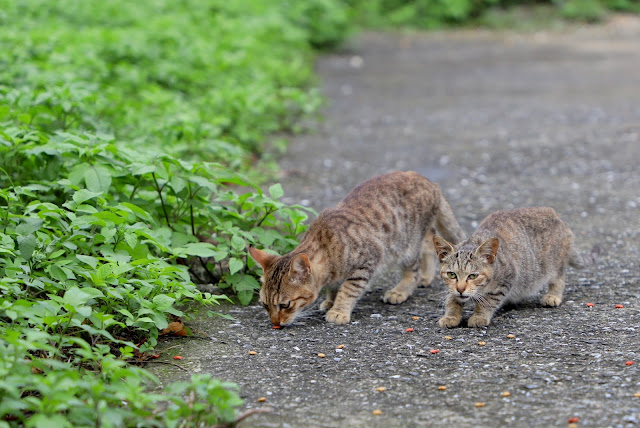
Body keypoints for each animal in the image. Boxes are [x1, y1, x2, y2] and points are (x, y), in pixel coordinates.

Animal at [249, 171, 464, 324]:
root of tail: (430, 182)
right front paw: (330, 300)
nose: (275, 323)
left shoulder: (367, 261)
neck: (327, 247)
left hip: (406, 245)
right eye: (264, 305)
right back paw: (427, 276)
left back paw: (400, 290)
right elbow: (334, 287)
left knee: (414, 270)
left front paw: (338, 310)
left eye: (285, 305)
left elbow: (348, 289)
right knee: (429, 242)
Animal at [432, 207, 588, 328]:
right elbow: (452, 300)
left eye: (473, 276)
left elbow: (488, 301)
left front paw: (479, 316)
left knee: (559, 279)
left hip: (555, 264)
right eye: (452, 274)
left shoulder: (507, 279)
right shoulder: (452, 289)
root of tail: (556, 215)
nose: (460, 289)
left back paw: (553, 295)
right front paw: (451, 316)